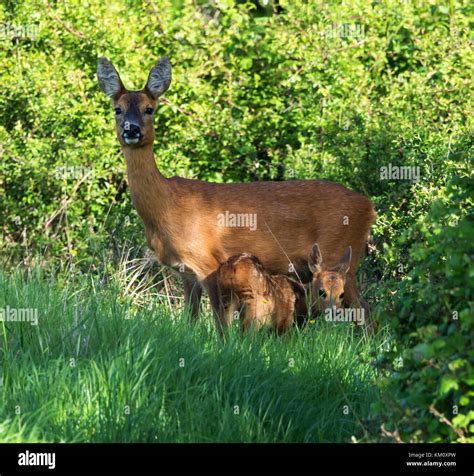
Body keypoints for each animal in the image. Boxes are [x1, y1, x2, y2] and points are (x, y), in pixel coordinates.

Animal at [97, 56, 378, 330]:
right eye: (117, 109)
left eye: (149, 109)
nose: (131, 129)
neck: (166, 206)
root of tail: (368, 205)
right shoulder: (186, 273)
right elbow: (189, 320)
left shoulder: (208, 263)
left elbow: (220, 322)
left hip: (339, 255)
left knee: (366, 313)